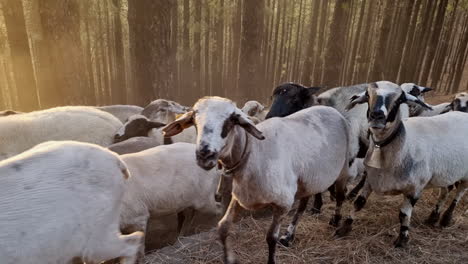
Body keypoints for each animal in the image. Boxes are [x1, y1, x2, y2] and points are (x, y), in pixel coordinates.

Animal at [164, 97, 352, 264]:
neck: (253, 152)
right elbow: (223, 227)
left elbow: (271, 237)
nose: (205, 154)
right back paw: (289, 237)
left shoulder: (283, 204)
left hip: (343, 169)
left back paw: (336, 222)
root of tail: (331, 110)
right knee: (303, 206)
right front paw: (229, 259)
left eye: (231, 120)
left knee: (341, 196)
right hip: (309, 179)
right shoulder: (240, 196)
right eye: (194, 120)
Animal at [340, 81, 468, 249]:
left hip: (465, 175)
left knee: (459, 193)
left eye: (400, 99)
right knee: (445, 191)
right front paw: (344, 228)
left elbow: (404, 214)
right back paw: (433, 217)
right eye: (368, 95)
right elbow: (358, 203)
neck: (404, 144)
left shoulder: (415, 188)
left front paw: (402, 239)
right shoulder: (371, 180)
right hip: (445, 172)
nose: (377, 116)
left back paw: (446, 218)